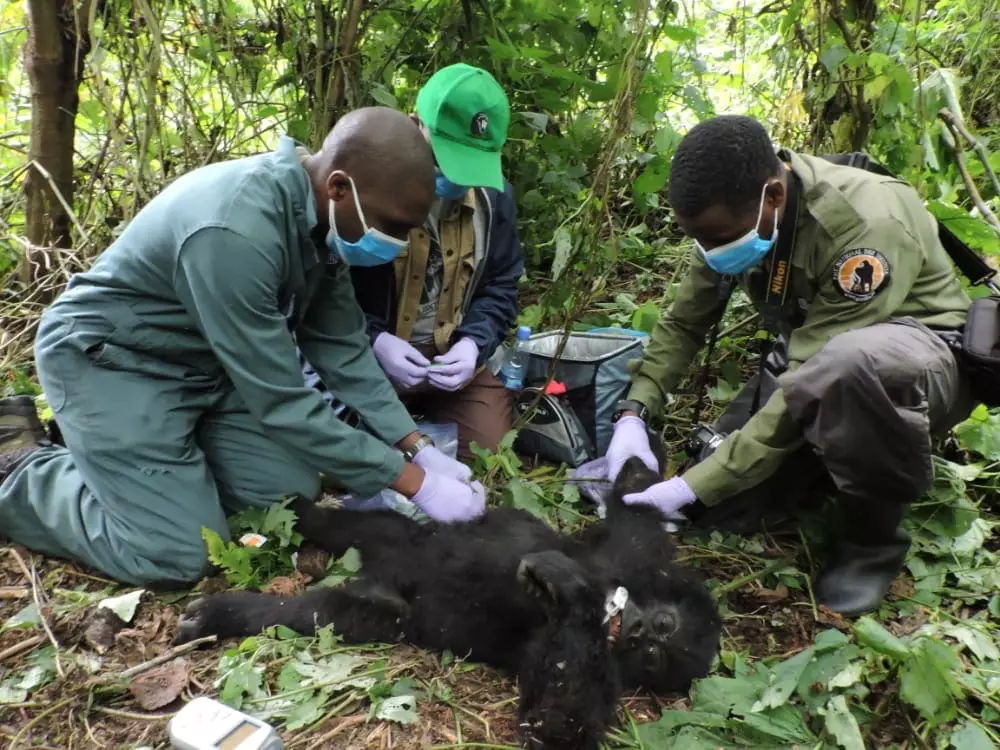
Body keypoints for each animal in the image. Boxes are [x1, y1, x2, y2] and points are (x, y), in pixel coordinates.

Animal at [172, 458, 720, 750]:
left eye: (654, 655)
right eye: (662, 626)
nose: (637, 631)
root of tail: (378, 570)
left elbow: (554, 725)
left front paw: (570, 592)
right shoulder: (632, 557)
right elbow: (637, 520)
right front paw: (634, 470)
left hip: (383, 612)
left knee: (318, 613)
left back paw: (222, 614)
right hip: (410, 540)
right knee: (363, 527)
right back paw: (295, 511)